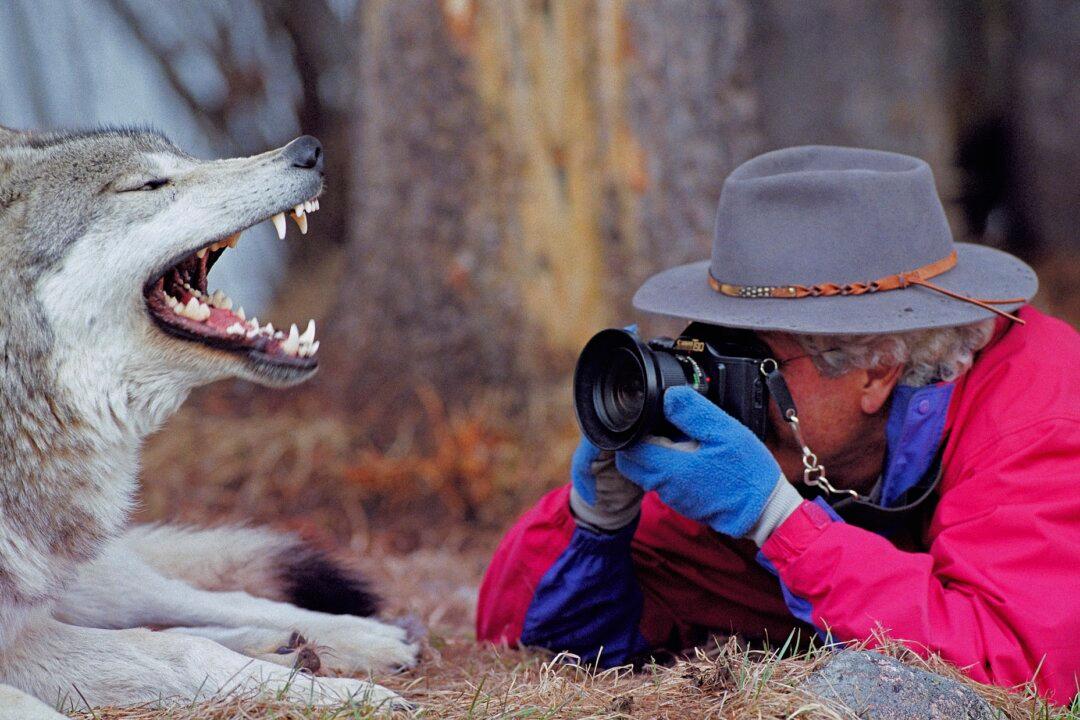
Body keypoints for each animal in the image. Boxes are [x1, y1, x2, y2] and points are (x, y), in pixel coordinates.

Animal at [0, 126, 419, 717]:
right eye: (150, 184)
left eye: (184, 159)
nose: (308, 150)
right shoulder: (17, 645)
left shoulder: (21, 632)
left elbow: (181, 648)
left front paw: (346, 692)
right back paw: (290, 651)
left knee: (187, 603)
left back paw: (355, 640)